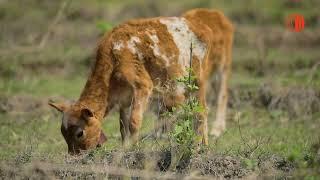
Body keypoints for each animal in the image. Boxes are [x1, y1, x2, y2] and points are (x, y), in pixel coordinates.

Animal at [48, 8, 234, 154]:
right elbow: (123, 126)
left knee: (202, 111)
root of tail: (201, 24)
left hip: (198, 78)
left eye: (80, 133)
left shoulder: (143, 86)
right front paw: (124, 148)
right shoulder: (123, 99)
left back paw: (202, 147)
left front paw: (134, 150)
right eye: (62, 133)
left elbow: (134, 122)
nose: (75, 156)